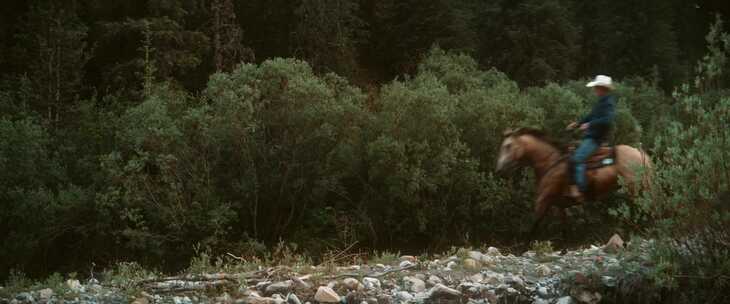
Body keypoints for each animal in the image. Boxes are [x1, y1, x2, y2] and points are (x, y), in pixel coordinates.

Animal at [492, 127, 652, 236]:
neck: (550, 162)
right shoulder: (560, 206)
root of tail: (640, 153)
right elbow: (564, 229)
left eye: (508, 146)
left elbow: (533, 225)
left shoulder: (543, 200)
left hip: (635, 190)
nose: (499, 169)